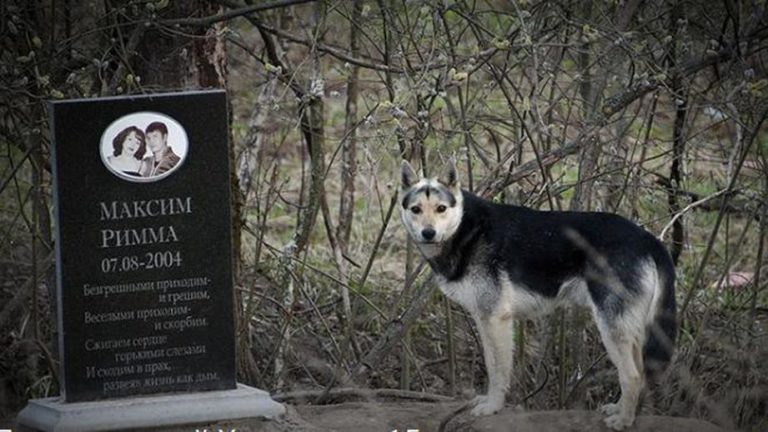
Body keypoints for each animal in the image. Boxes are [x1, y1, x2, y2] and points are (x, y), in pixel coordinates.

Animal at [400, 159, 676, 432]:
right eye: (416, 209)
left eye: (441, 208)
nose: (428, 233)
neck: (466, 229)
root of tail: (648, 238)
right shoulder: (484, 320)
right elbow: (492, 363)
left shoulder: (496, 320)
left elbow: (497, 370)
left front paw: (492, 406)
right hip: (628, 329)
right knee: (639, 373)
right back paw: (620, 410)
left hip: (612, 328)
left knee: (632, 376)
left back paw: (623, 421)